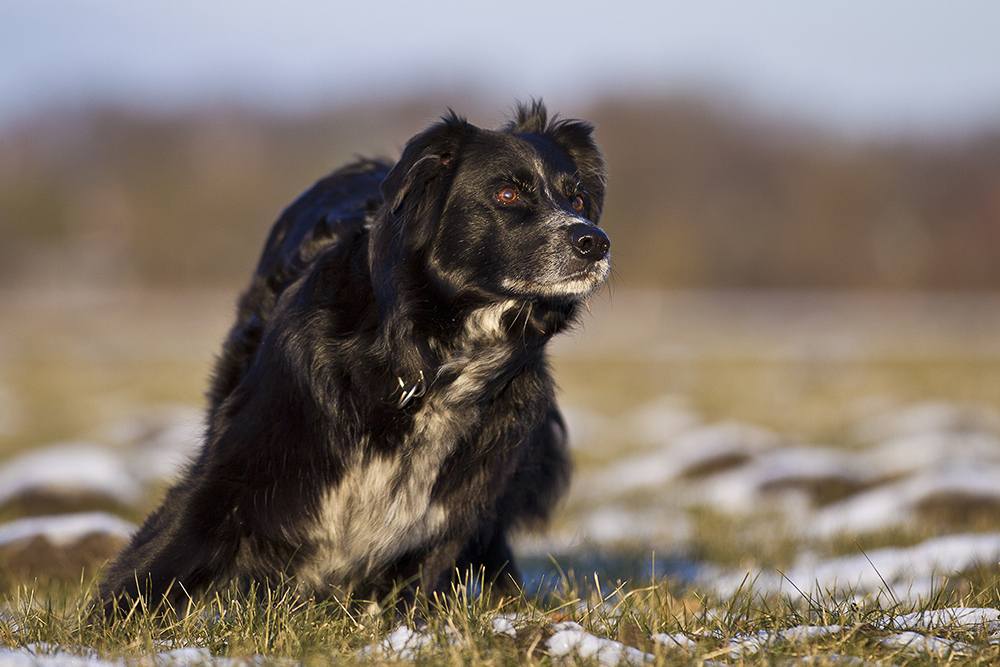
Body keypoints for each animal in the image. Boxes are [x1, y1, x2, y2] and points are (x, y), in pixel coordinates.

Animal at [97, 100, 608, 616]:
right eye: (507, 193)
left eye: (577, 201)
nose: (594, 242)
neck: (429, 361)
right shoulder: (235, 465)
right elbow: (157, 560)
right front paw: (102, 626)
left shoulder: (454, 509)